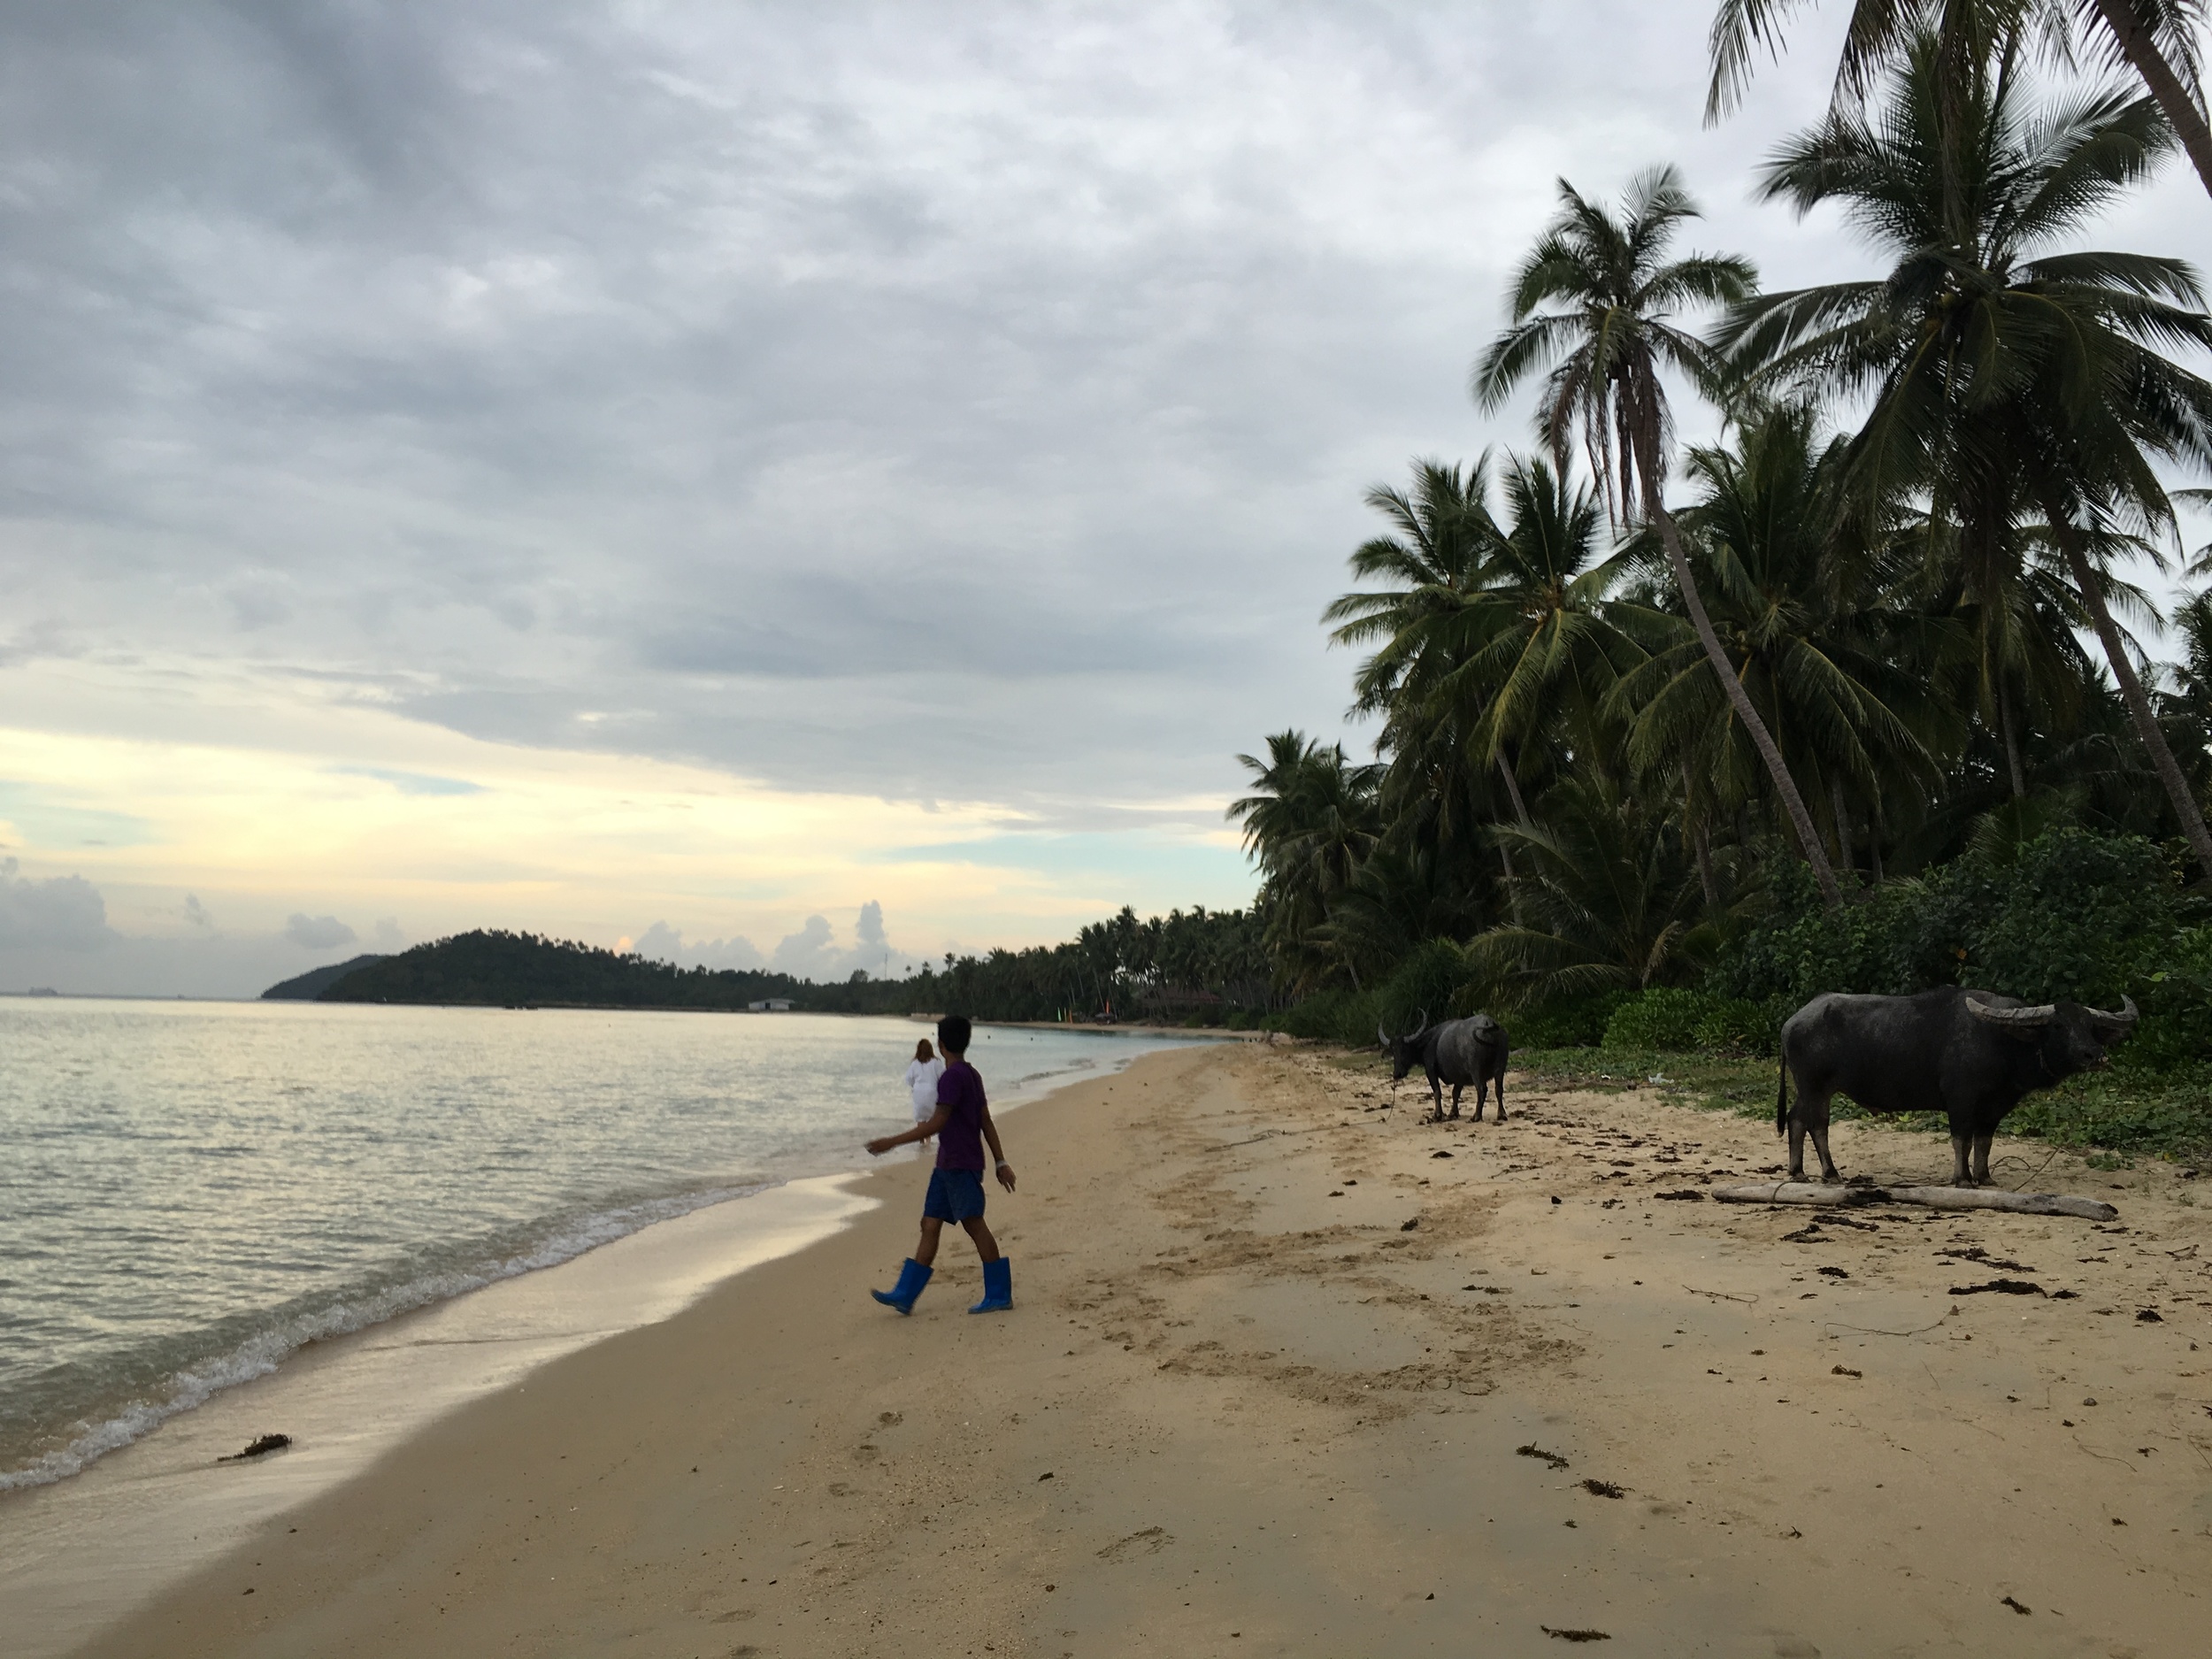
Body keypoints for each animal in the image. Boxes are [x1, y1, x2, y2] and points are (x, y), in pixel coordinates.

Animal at [1371, 1009, 1513, 1124]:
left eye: (1404, 1050)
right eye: (1393, 1051)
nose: (1397, 1074)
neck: (1428, 1043)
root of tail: (1488, 1024)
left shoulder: (1430, 1070)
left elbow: (1437, 1092)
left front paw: (1438, 1115)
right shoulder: (1459, 1076)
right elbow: (1455, 1093)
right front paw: (1453, 1113)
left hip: (1476, 1069)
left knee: (1482, 1089)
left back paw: (1476, 1116)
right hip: (1501, 1066)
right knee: (1499, 1089)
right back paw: (1501, 1114)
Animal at [1770, 995, 2132, 1186]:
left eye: (2090, 1026)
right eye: (2058, 1025)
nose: (2095, 1055)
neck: (2001, 1042)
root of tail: (1790, 1023)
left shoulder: (1995, 1107)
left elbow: (1984, 1142)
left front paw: (1984, 1177)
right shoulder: (1961, 1100)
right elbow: (1962, 1140)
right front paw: (1962, 1178)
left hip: (1812, 1090)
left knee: (1797, 1120)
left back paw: (1798, 1172)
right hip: (1815, 1087)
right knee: (1816, 1124)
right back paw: (1830, 1173)